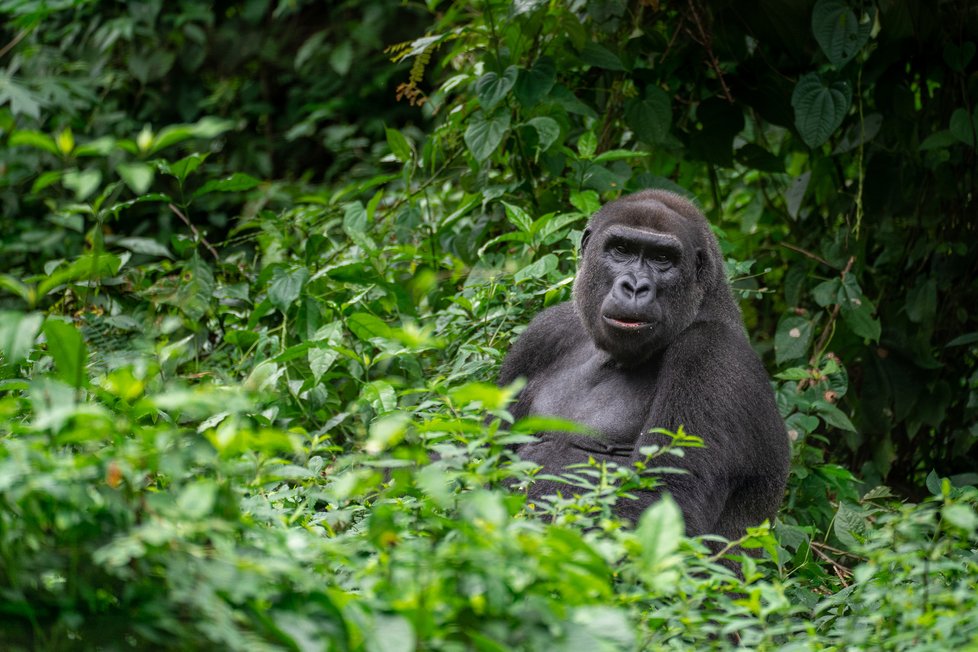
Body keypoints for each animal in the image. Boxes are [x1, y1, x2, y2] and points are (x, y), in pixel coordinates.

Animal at [500, 188, 788, 540]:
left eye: (662, 259)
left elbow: (659, 501)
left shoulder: (711, 354)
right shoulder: (543, 333)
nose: (635, 287)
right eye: (621, 250)